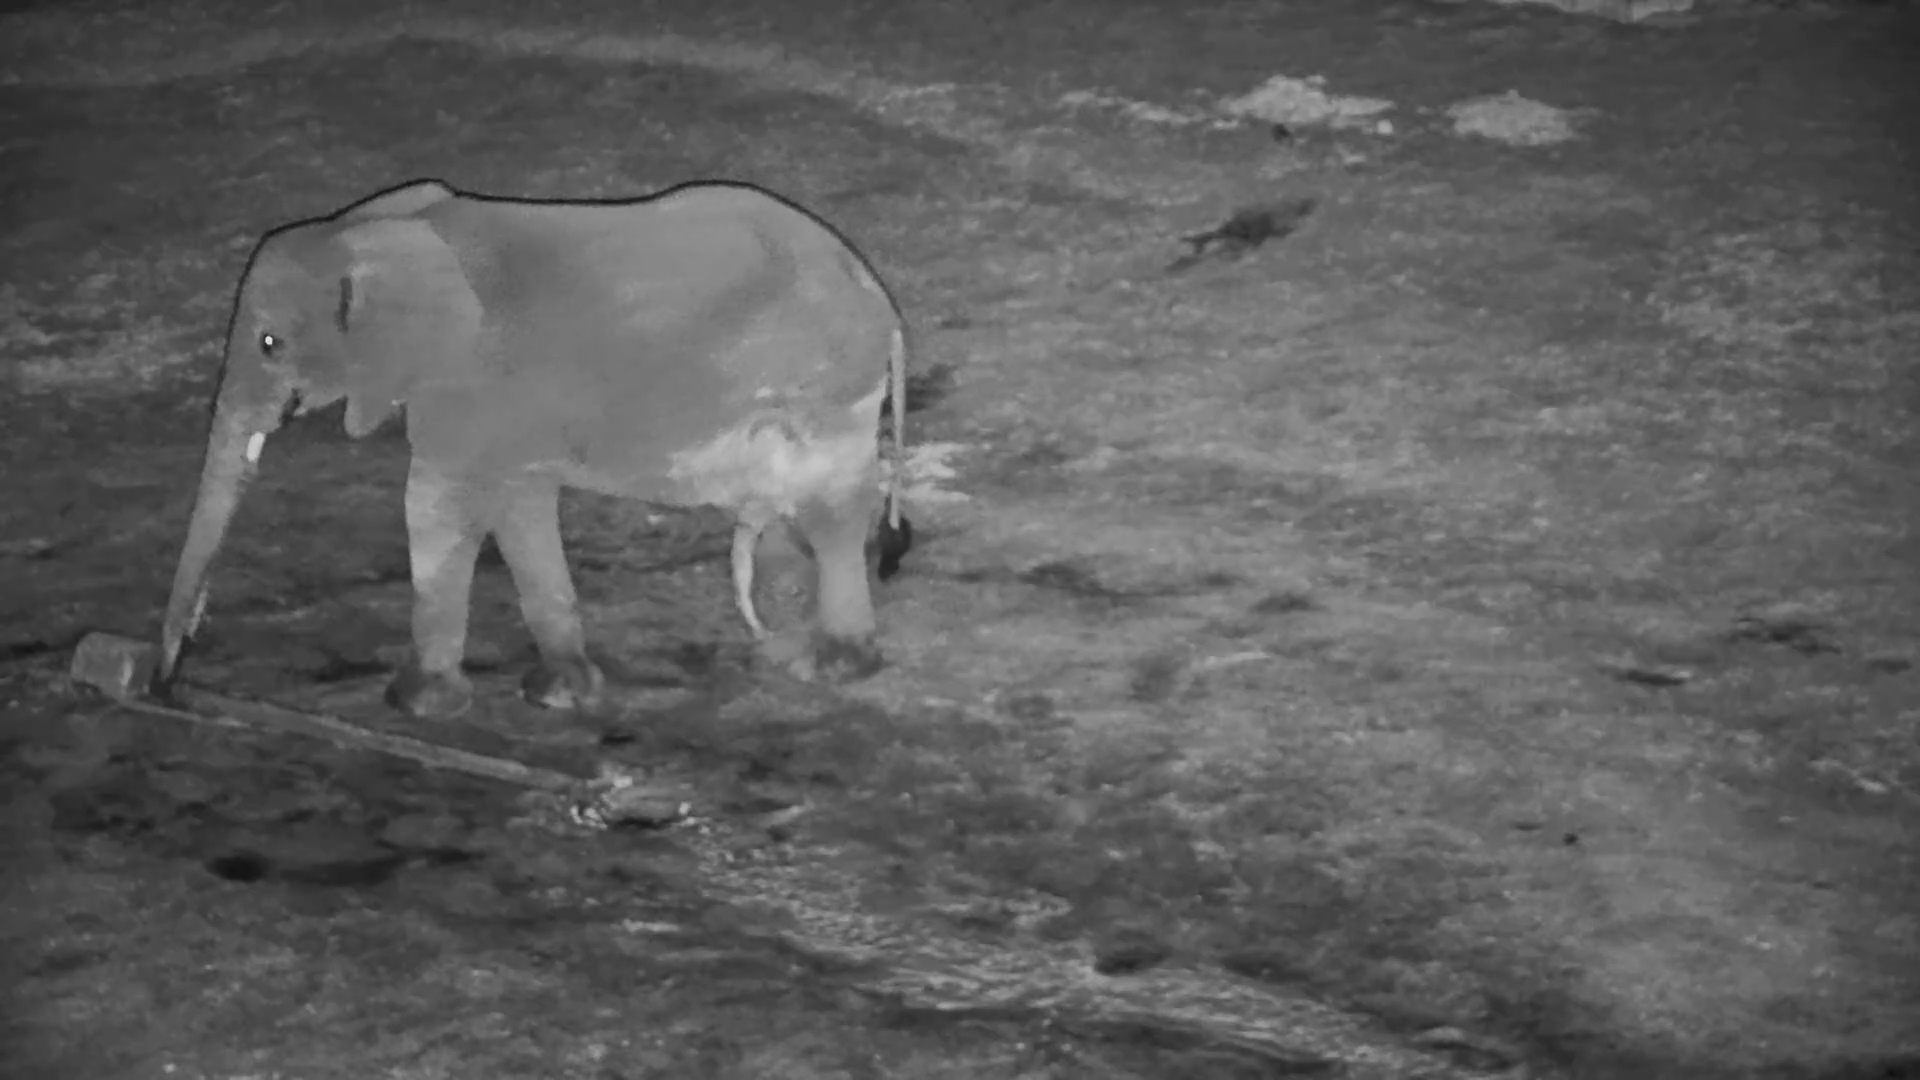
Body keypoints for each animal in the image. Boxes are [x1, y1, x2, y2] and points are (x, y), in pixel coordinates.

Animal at [152, 178, 913, 719]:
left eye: (269, 343)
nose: (163, 683)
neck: (378, 230)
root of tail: (878, 295)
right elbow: (519, 509)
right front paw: (562, 693)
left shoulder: (472, 382)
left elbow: (437, 507)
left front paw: (416, 705)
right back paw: (783, 631)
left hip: (823, 388)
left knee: (830, 508)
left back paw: (832, 665)